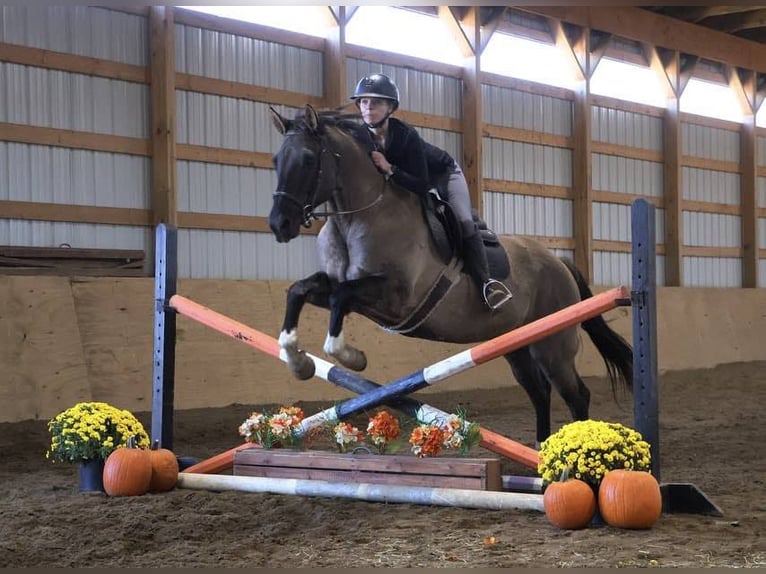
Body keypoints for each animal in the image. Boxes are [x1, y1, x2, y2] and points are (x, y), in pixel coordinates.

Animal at [267, 104, 633, 445]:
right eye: (275, 160)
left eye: (308, 159)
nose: (279, 224)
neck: (359, 217)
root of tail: (560, 263)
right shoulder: (344, 287)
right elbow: (301, 290)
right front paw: (299, 363)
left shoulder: (394, 297)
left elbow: (340, 299)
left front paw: (351, 358)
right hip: (516, 344)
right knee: (539, 391)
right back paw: (540, 448)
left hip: (552, 344)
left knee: (576, 395)